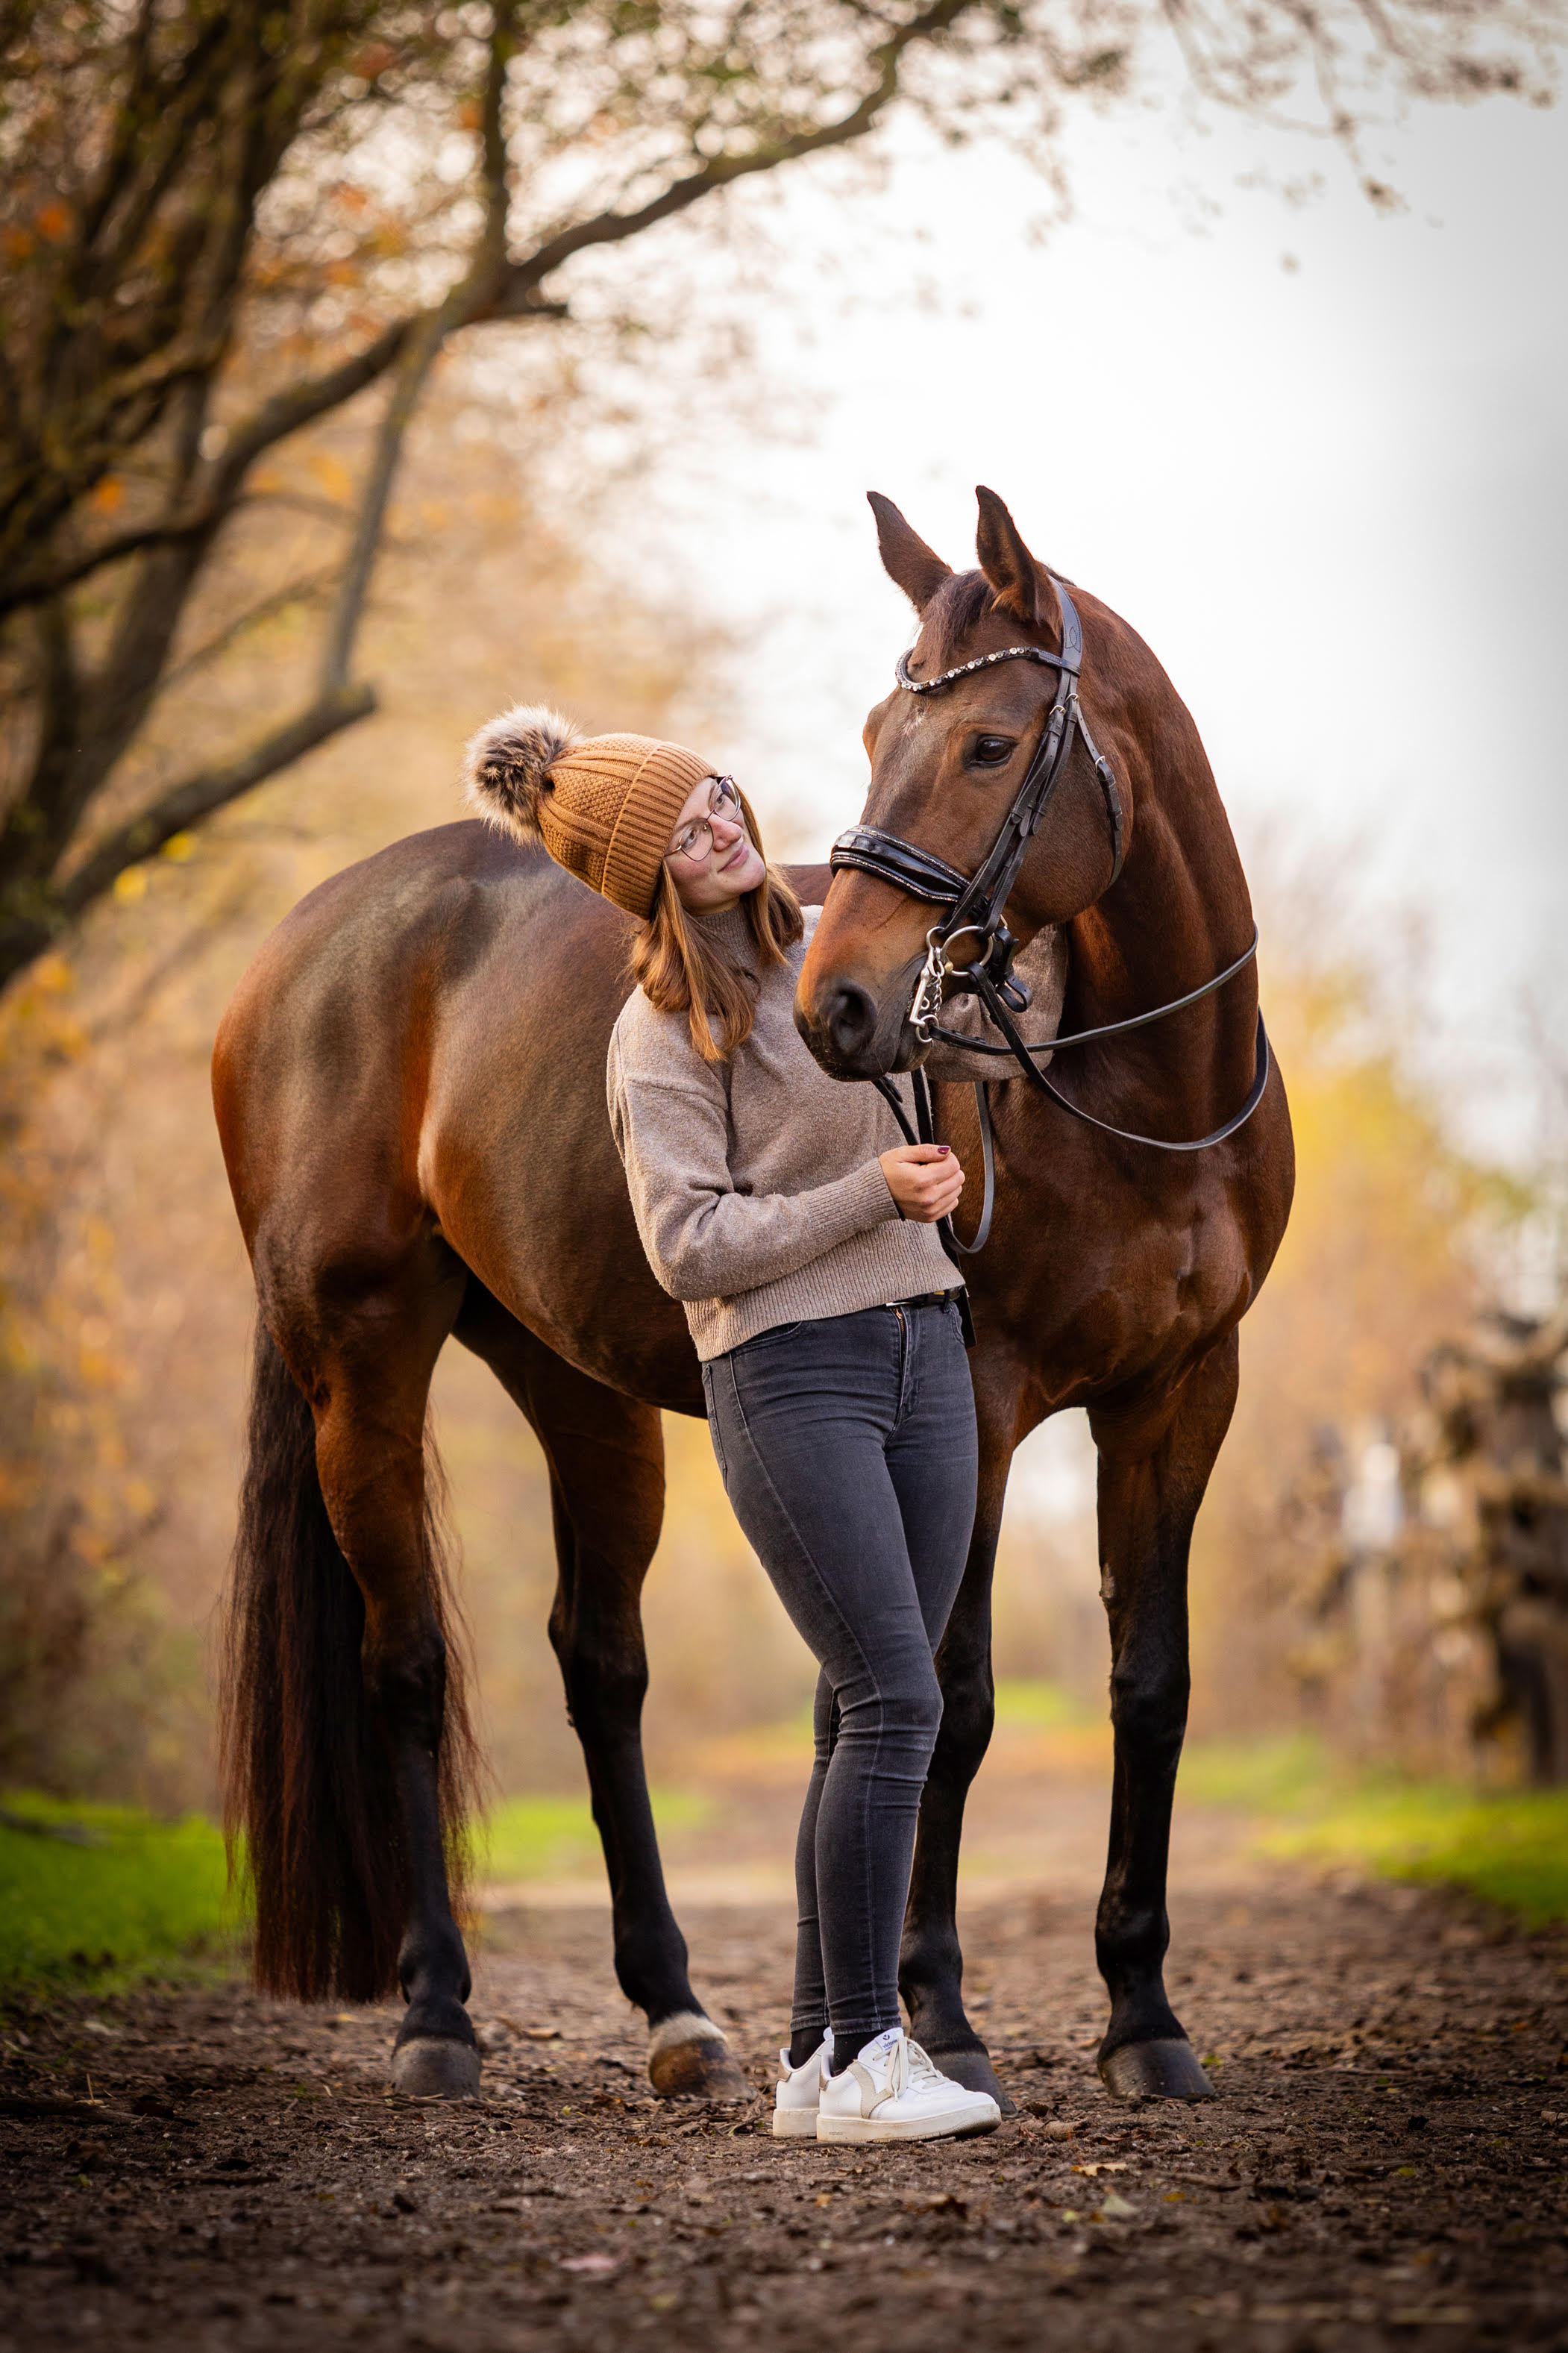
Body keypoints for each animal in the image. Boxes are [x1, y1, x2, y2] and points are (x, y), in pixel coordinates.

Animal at [212, 485, 1293, 2108]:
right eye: (876, 731)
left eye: (988, 744)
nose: (838, 1004)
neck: (1132, 1096)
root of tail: (299, 945)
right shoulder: (976, 1403)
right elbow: (957, 1691)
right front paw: (938, 2009)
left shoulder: (1181, 1397)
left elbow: (1147, 1684)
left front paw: (1143, 2014)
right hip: (361, 1363)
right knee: (402, 1661)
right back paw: (437, 2014)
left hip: (578, 1387)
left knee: (600, 1663)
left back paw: (673, 2005)